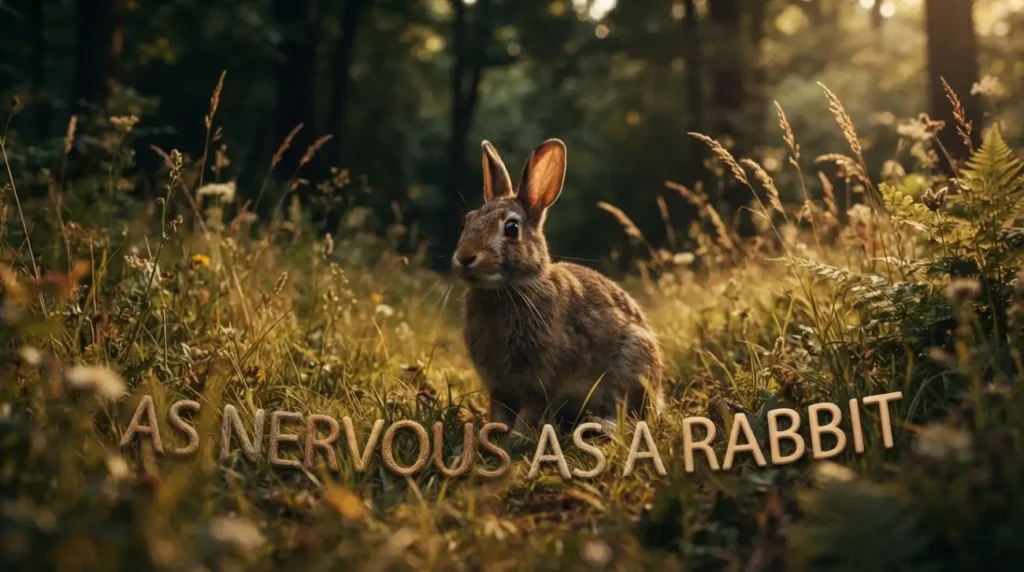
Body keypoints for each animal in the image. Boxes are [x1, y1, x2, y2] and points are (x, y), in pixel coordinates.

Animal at [452, 138, 664, 435]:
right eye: (467, 222)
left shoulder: (539, 380)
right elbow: (499, 410)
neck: (511, 288)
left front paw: (516, 437)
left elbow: (530, 410)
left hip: (633, 362)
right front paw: (493, 432)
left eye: (512, 228)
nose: (465, 257)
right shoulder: (500, 386)